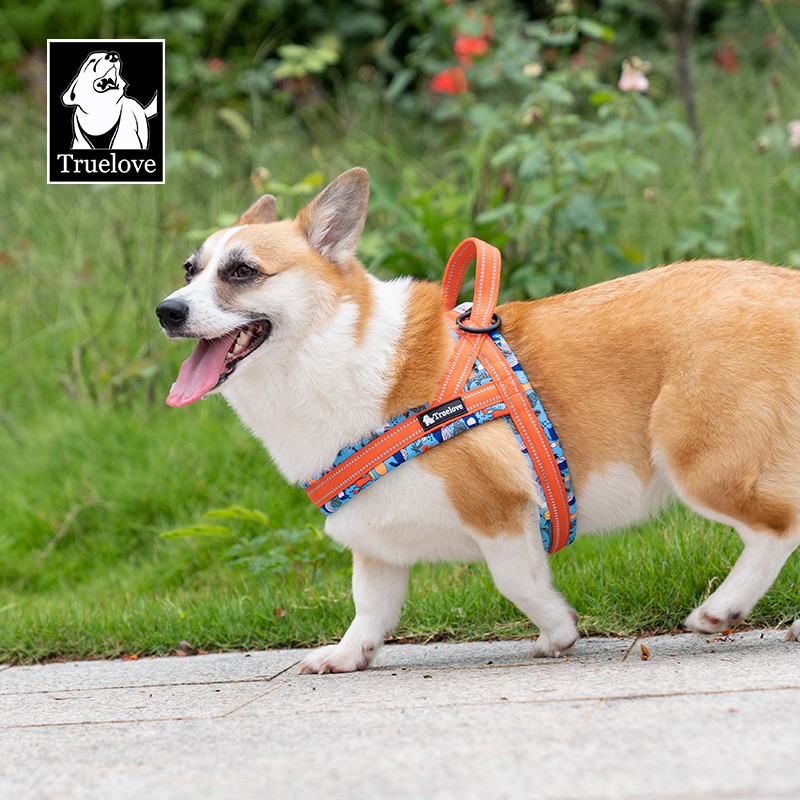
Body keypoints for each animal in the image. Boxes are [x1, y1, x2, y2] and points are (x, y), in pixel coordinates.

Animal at [158, 169, 800, 676]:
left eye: (243, 272)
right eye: (190, 270)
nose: (167, 311)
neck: (331, 351)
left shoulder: (499, 513)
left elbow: (517, 582)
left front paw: (558, 633)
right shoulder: (377, 545)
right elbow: (370, 607)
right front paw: (345, 656)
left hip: (696, 459)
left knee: (779, 527)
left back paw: (722, 609)